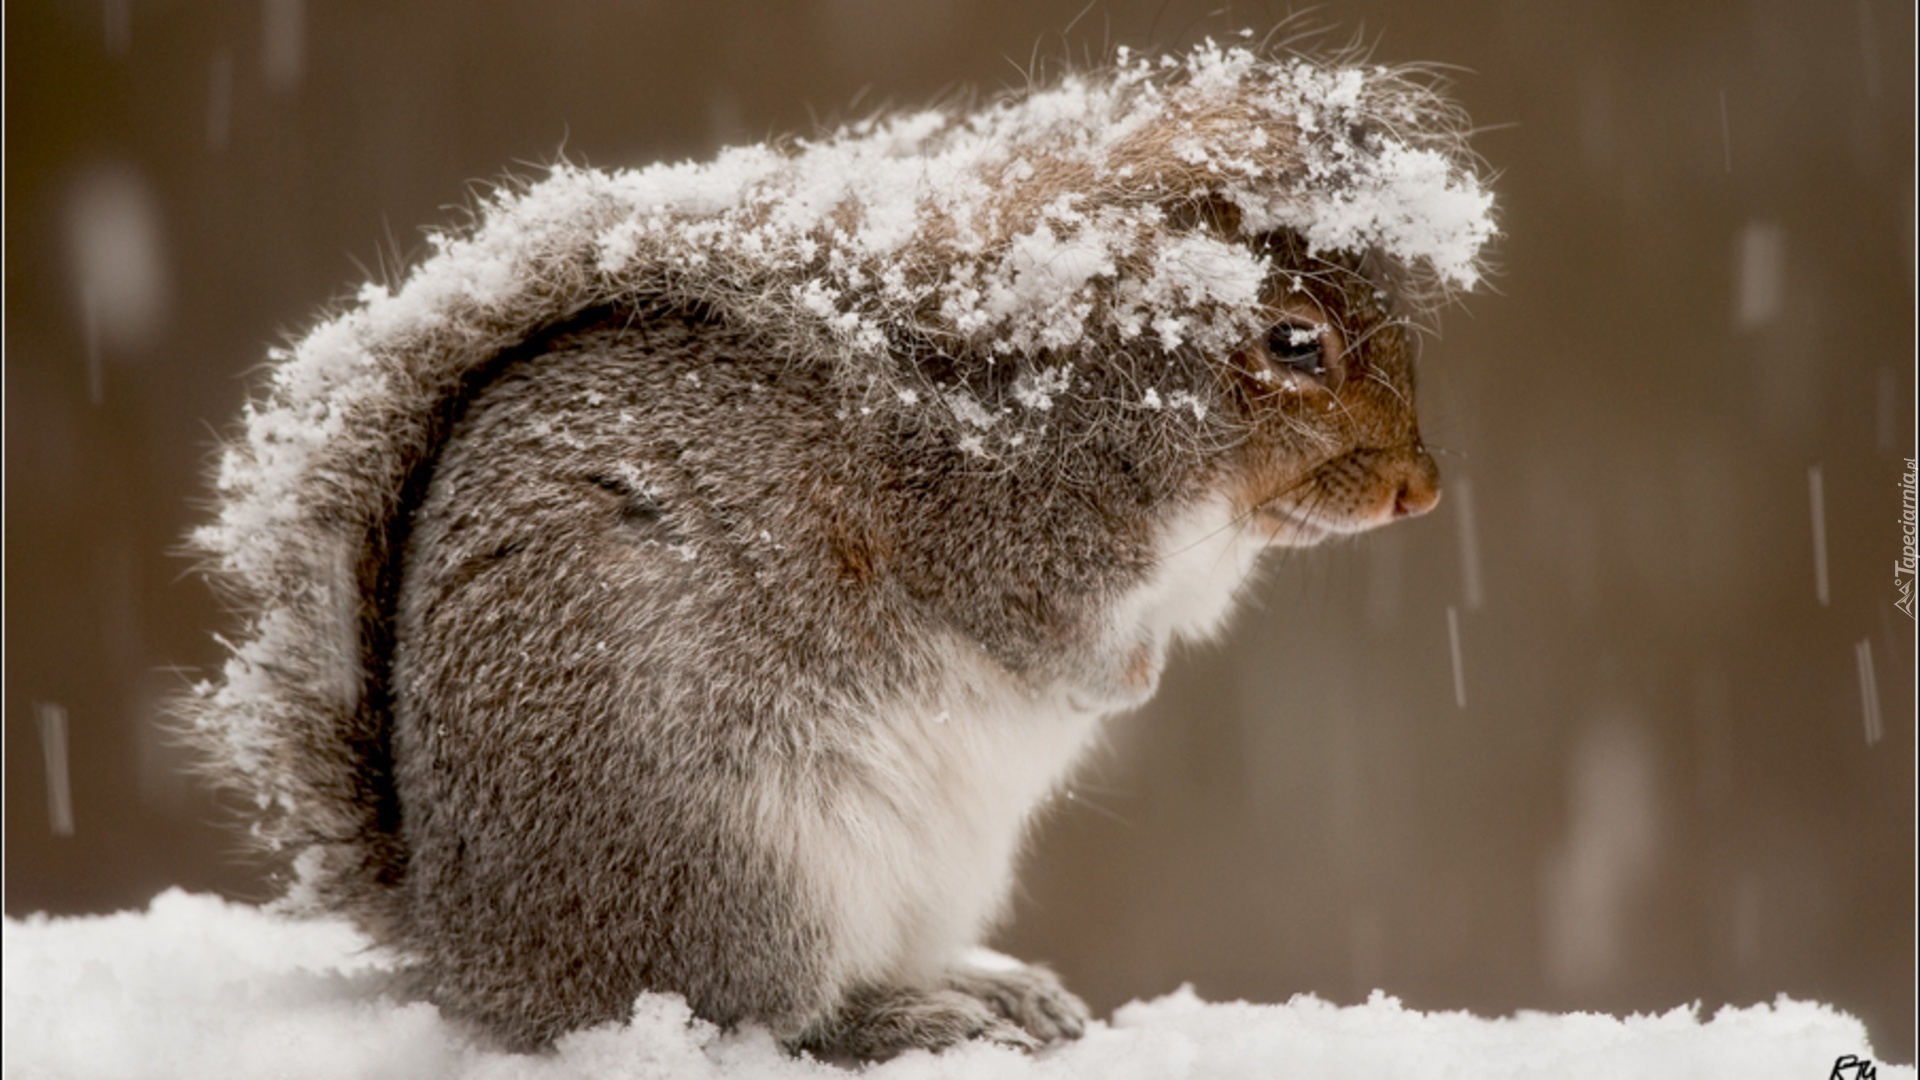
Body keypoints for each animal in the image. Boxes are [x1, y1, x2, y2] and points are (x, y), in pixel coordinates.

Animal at [183, 44, 1497, 1060]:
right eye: (1294, 342)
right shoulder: (990, 532)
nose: (1421, 492)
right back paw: (904, 1021)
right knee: (764, 1016)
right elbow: (1039, 632)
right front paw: (1118, 685)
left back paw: (985, 986)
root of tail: (476, 953)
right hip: (745, 863)